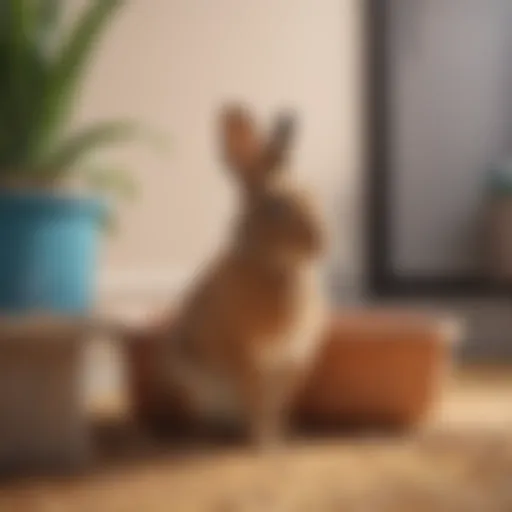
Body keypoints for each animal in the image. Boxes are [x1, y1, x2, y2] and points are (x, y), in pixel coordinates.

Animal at [156, 105, 328, 448]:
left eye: (312, 194)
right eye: (276, 207)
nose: (321, 242)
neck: (276, 266)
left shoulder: (290, 363)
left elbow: (278, 405)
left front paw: (282, 439)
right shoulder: (246, 357)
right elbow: (256, 401)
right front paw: (263, 444)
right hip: (194, 384)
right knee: (200, 416)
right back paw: (210, 437)